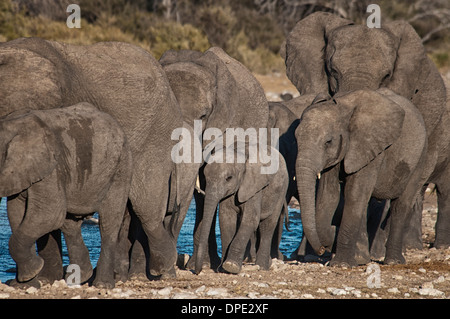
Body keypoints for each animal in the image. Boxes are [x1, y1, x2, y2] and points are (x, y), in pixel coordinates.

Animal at [1, 104, 132, 288]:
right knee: (70, 224)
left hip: (120, 168)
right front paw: (26, 283)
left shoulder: (50, 169)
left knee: (108, 222)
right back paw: (80, 277)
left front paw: (33, 271)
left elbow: (49, 215)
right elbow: (16, 214)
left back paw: (102, 285)